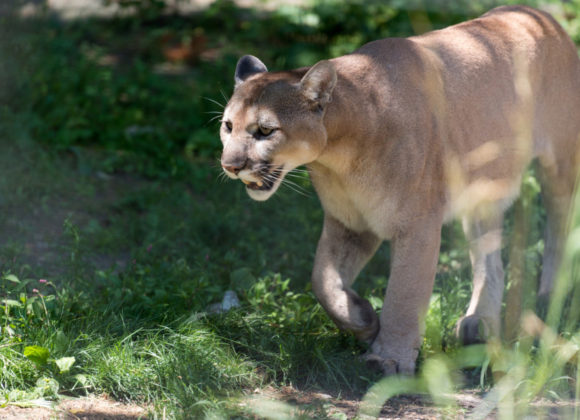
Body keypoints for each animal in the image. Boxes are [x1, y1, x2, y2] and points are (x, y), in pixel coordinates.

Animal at [218, 5, 580, 374]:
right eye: (228, 126)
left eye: (265, 130)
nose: (230, 165)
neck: (337, 154)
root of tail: (536, 12)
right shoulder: (350, 222)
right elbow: (322, 280)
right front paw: (362, 319)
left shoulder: (416, 224)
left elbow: (404, 294)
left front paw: (387, 357)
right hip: (482, 189)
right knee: (490, 258)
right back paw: (479, 326)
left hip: (560, 165)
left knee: (559, 230)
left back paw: (549, 301)